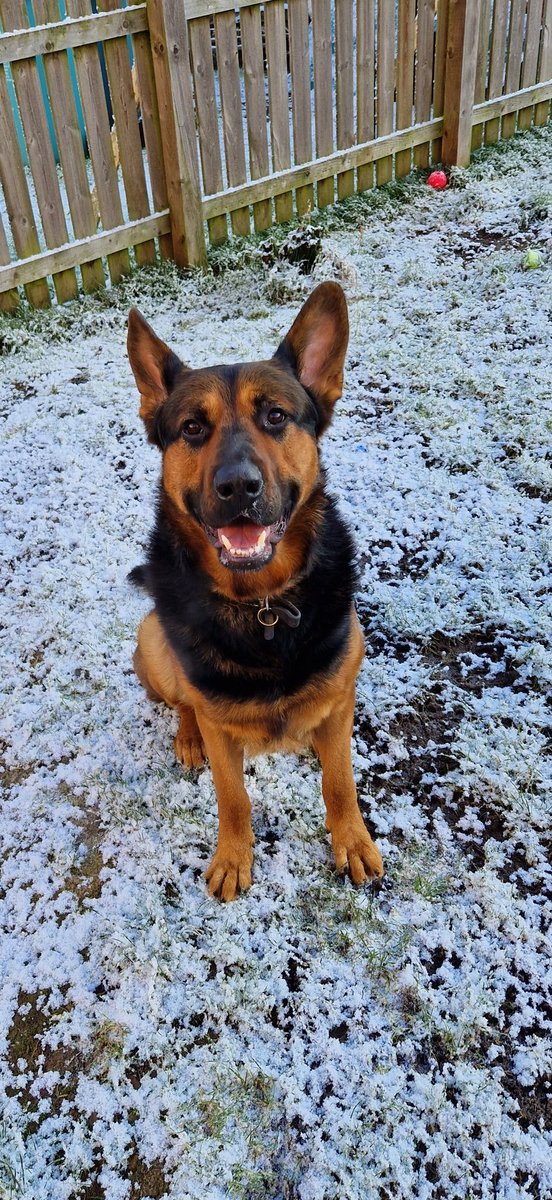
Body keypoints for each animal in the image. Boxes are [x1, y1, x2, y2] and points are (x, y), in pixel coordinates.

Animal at [127, 283, 384, 902]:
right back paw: (188, 737)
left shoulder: (342, 694)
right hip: (152, 639)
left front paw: (351, 839)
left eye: (275, 416)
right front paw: (233, 856)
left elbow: (340, 780)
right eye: (192, 428)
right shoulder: (223, 734)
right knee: (184, 703)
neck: (262, 605)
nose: (238, 487)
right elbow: (233, 796)